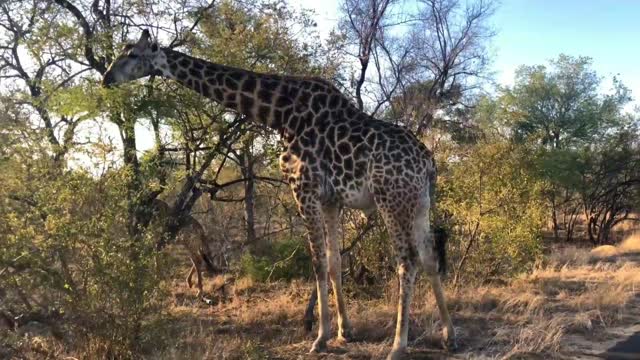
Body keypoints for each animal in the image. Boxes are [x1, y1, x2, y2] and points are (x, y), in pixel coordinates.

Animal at [102, 30, 456, 360]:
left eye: (131, 54)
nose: (106, 78)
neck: (279, 113)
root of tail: (428, 161)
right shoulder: (331, 200)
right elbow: (334, 262)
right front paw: (345, 331)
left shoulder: (304, 189)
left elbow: (316, 262)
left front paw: (320, 338)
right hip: (419, 202)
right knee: (428, 256)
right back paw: (448, 335)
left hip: (390, 200)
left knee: (407, 260)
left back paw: (398, 345)